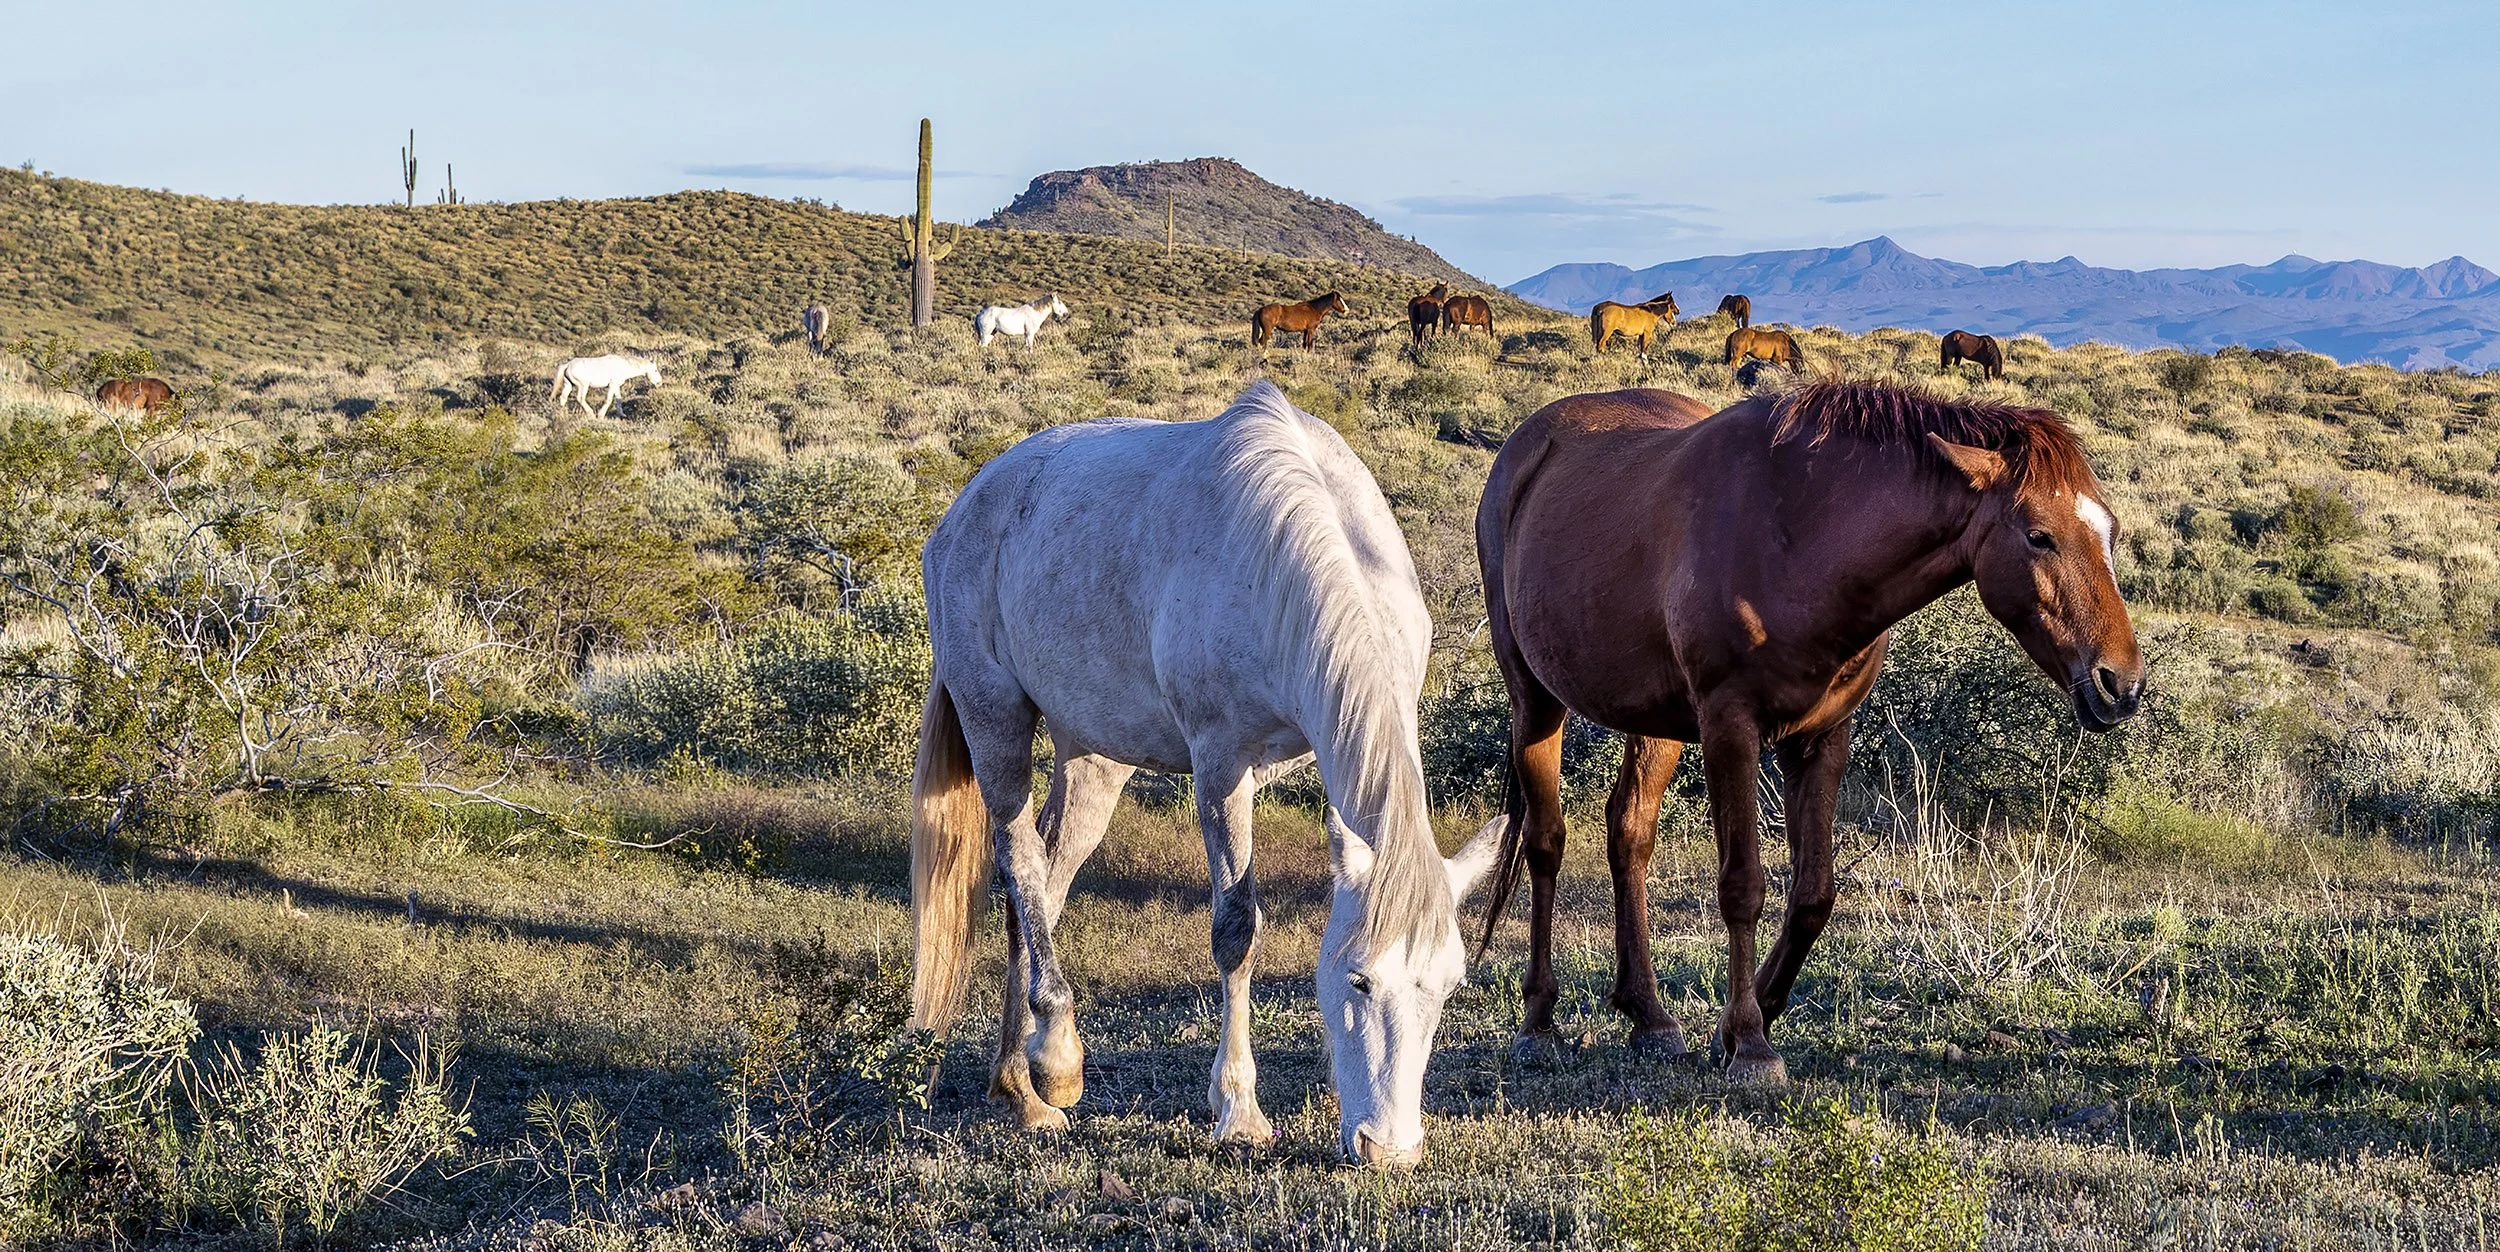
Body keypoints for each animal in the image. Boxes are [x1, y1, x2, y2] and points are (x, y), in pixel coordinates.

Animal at [910, 380, 1503, 1165]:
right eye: (1358, 980)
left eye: (1448, 984)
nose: (1390, 1151)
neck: (1281, 561)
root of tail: (963, 510)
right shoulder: (1222, 764)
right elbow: (1236, 931)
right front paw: (1239, 1112)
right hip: (994, 716)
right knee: (1020, 861)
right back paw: (1056, 1062)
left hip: (1093, 756)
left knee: (1039, 886)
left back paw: (1018, 1088)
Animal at [1471, 382, 2143, 1084]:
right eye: (2039, 536)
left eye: (2111, 531)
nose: (2121, 683)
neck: (1798, 537)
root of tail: (1527, 445)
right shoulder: (1730, 728)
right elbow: (1743, 886)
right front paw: (1751, 1044)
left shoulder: (1822, 739)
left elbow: (1813, 893)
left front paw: (1746, 1021)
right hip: (1534, 699)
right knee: (1545, 843)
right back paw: (1539, 1019)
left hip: (1655, 724)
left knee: (1628, 834)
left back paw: (1649, 1016)